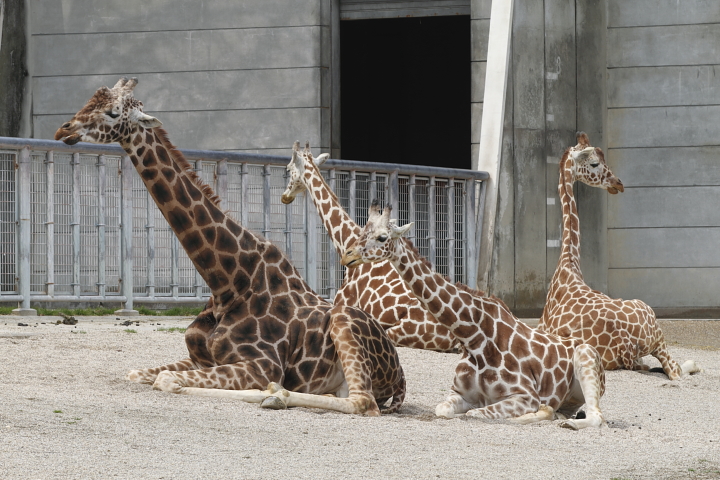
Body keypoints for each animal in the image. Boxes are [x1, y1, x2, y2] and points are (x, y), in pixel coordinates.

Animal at [54, 77, 404, 414]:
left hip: (345, 325)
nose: (63, 129)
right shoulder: (199, 358)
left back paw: (276, 395)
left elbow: (166, 379)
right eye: (90, 99)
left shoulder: (262, 365)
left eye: (113, 112)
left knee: (363, 402)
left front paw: (263, 391)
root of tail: (400, 377)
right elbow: (137, 373)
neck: (227, 283)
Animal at [344, 202, 608, 432]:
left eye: (382, 237)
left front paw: (536, 414)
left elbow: (475, 414)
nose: (347, 256)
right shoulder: (458, 393)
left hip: (587, 356)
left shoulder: (525, 396)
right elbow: (443, 410)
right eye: (363, 230)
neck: (473, 337)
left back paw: (565, 421)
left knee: (597, 416)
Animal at [536, 131, 700, 378]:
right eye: (594, 163)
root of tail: (625, 344)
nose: (618, 183)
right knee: (675, 371)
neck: (568, 263)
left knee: (673, 371)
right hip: (653, 329)